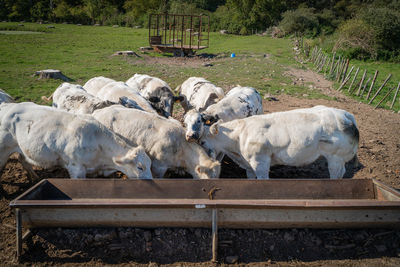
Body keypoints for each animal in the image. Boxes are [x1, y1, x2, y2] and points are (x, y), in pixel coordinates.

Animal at [0, 102, 152, 180]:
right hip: (3, 149)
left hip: (23, 149)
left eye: (150, 164)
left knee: (23, 160)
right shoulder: (76, 168)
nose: (151, 180)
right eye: (140, 167)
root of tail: (8, 106)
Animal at [198, 105, 358, 180]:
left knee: (336, 174)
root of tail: (346, 115)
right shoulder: (248, 165)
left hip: (336, 157)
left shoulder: (260, 161)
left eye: (202, 142)